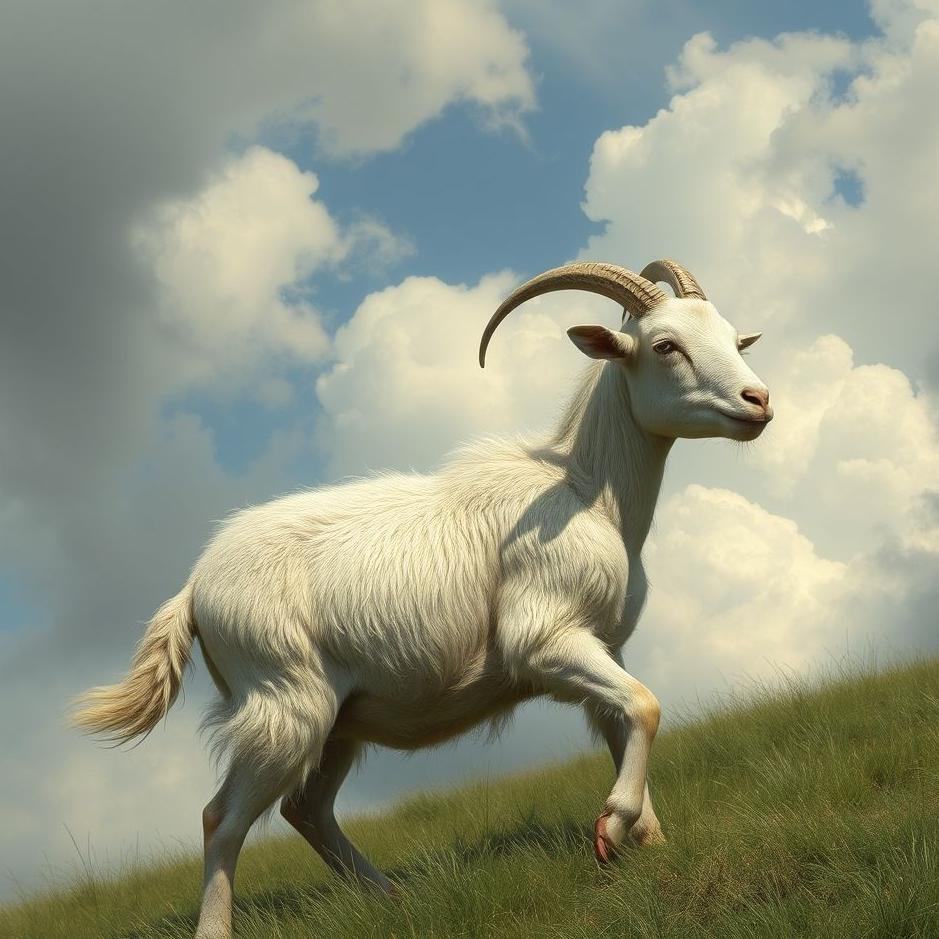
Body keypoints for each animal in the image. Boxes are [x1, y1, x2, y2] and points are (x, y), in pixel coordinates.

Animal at [73, 260, 772, 939]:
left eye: (733, 338)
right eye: (665, 345)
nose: (758, 401)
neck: (583, 490)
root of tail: (193, 588)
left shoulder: (602, 645)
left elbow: (626, 721)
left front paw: (641, 841)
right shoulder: (544, 640)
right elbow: (646, 706)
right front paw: (613, 827)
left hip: (339, 718)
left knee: (305, 807)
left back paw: (391, 899)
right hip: (283, 705)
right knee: (222, 818)